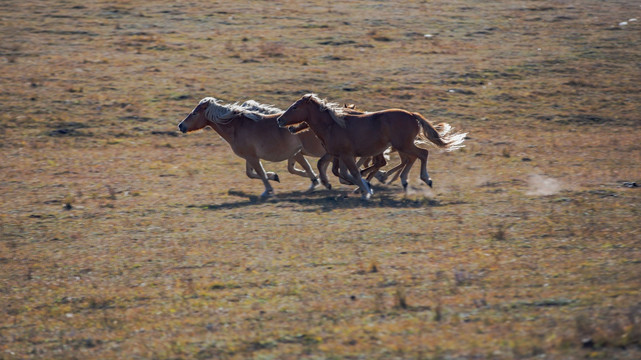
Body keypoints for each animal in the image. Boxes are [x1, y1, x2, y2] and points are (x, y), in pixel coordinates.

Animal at [178, 96, 324, 197]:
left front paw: (267, 191)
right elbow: (251, 173)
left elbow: (260, 173)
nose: (181, 126)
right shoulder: (250, 156)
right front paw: (275, 176)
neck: (236, 128)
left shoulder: (253, 157)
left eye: (195, 113)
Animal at [276, 93, 464, 200]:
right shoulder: (338, 155)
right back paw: (403, 180)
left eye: (295, 107)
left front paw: (366, 190)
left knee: (422, 154)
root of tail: (412, 115)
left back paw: (426, 179)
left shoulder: (346, 155)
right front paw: (362, 186)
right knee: (412, 158)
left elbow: (352, 172)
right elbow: (339, 171)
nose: (280, 120)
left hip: (403, 144)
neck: (333, 125)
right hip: (403, 146)